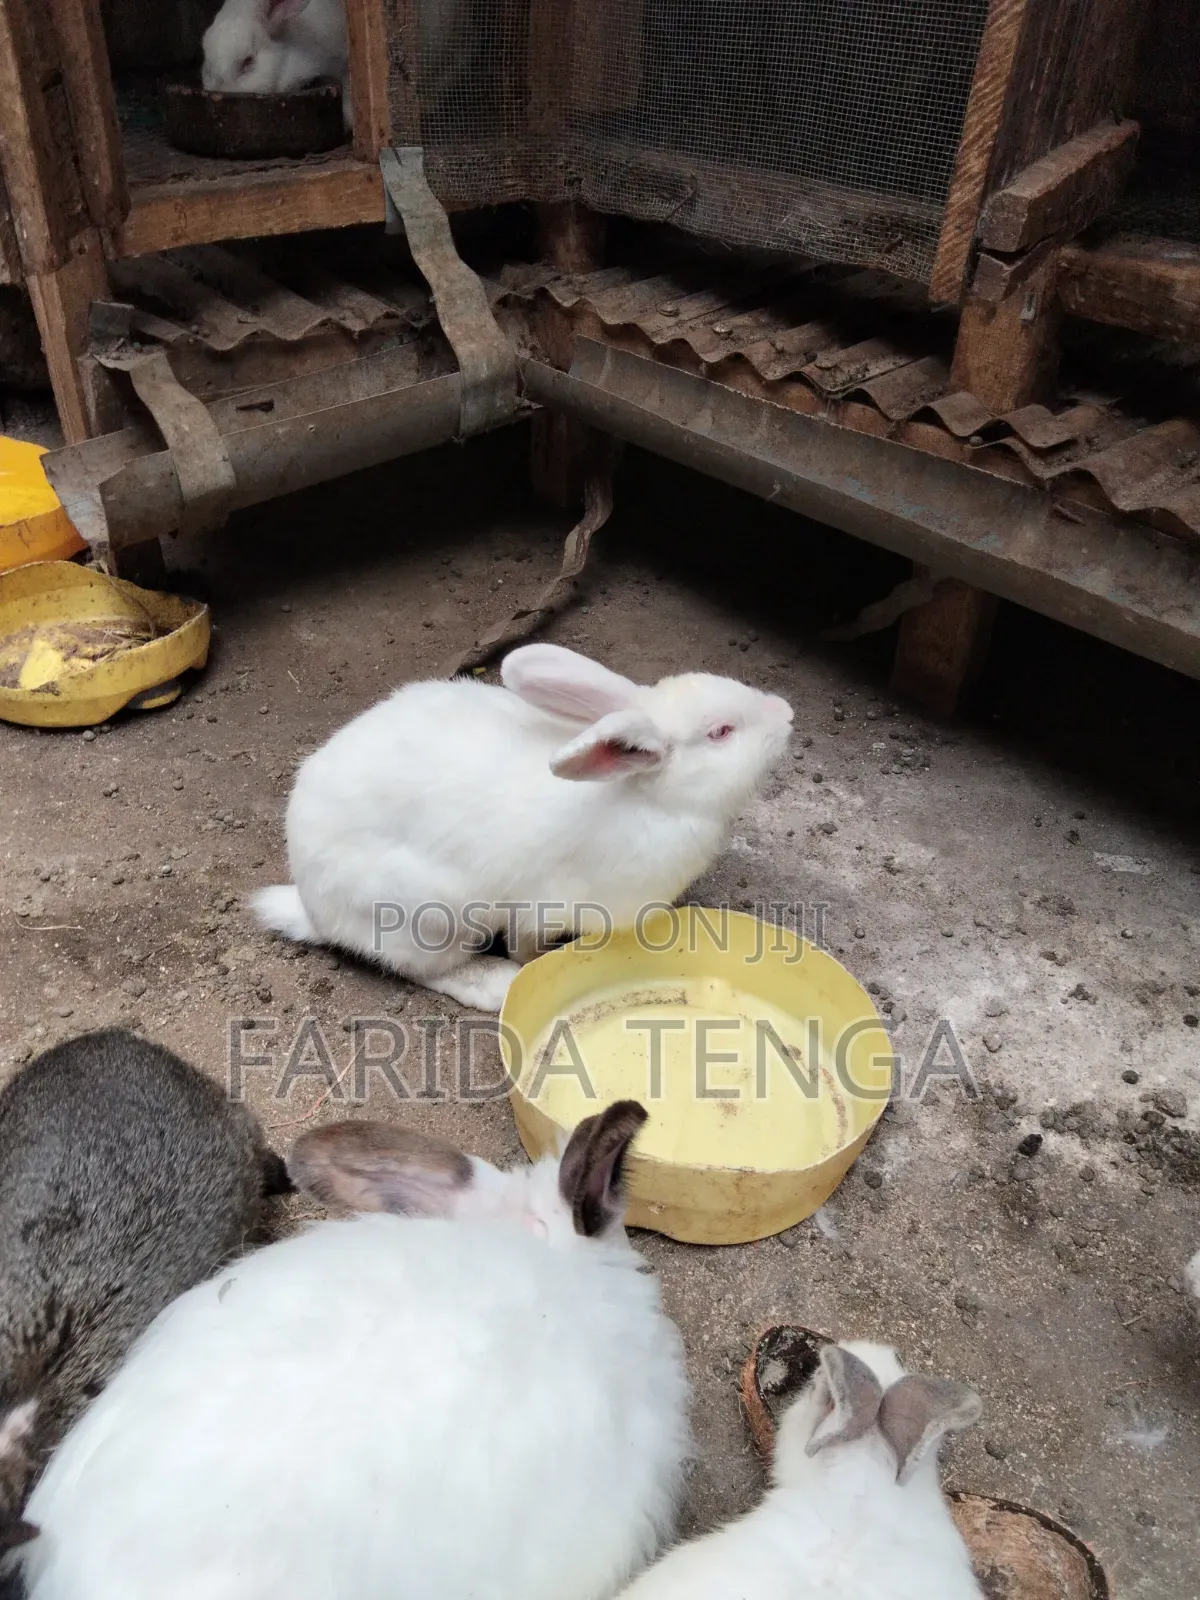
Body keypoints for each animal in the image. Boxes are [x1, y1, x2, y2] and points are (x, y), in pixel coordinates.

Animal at [253, 642, 794, 1012]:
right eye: (721, 732)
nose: (787, 713)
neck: (648, 798)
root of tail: (313, 908)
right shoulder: (545, 906)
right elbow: (525, 946)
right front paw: (533, 965)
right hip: (430, 919)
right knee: (425, 970)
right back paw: (494, 984)